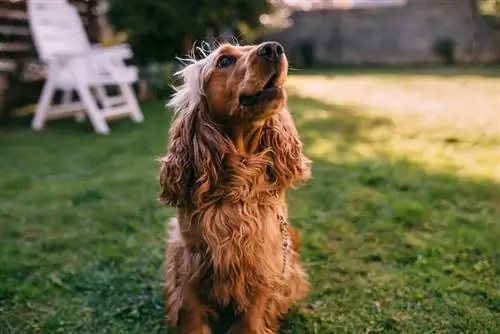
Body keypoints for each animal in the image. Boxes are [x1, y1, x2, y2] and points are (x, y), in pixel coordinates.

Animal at [158, 41, 310, 334]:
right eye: (225, 61)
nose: (274, 48)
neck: (239, 180)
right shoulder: (190, 260)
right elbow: (190, 313)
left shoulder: (263, 259)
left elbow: (251, 319)